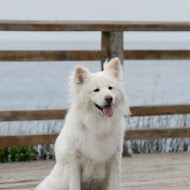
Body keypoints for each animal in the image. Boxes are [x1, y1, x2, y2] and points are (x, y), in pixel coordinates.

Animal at [35, 57, 131, 189]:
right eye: (96, 90)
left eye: (110, 88)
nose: (109, 98)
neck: (98, 124)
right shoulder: (74, 162)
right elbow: (75, 185)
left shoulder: (113, 160)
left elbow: (112, 185)